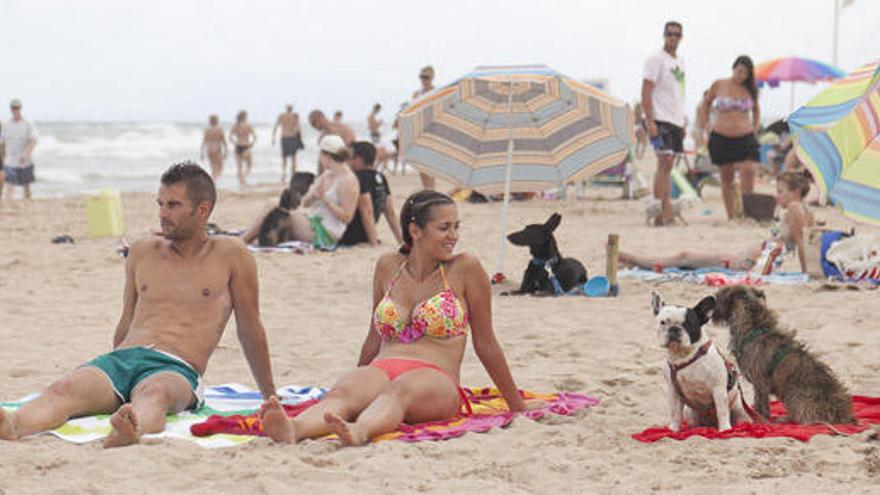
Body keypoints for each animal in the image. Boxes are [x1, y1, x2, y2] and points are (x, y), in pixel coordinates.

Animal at [716, 284, 852, 424]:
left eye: (718, 296)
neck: (752, 325)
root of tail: (841, 413)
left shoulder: (760, 382)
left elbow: (761, 404)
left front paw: (761, 419)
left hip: (795, 393)